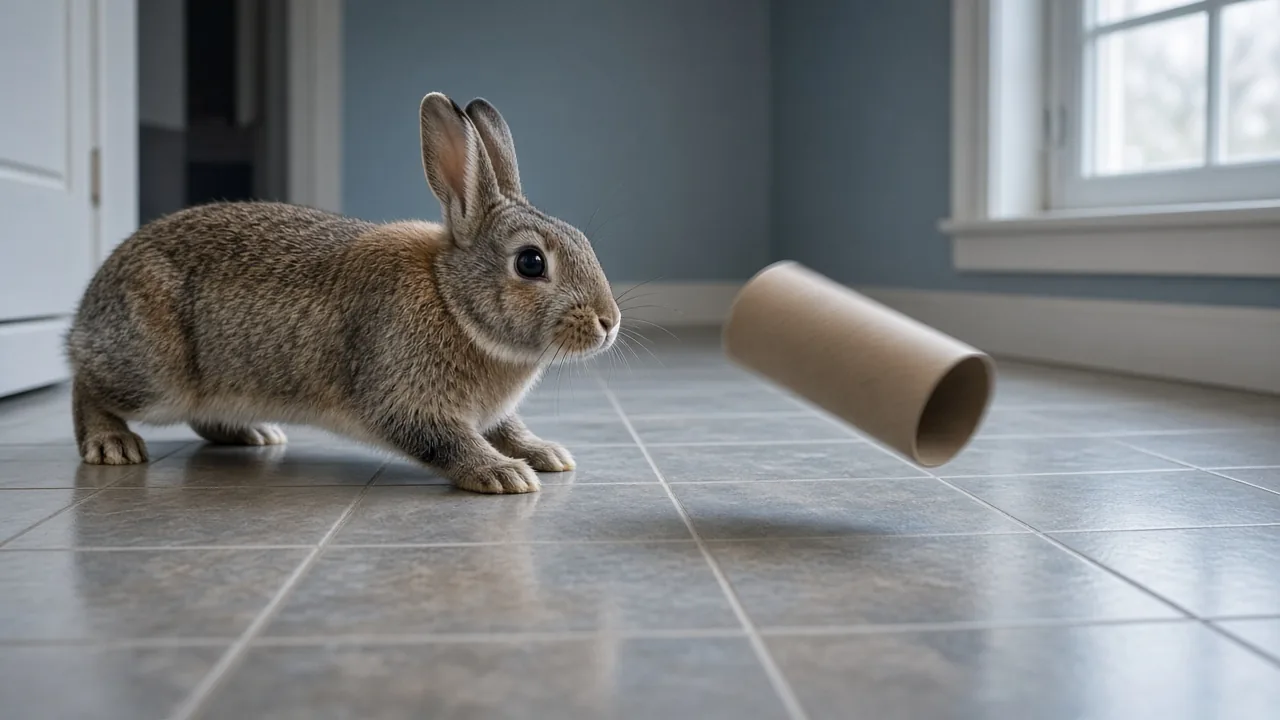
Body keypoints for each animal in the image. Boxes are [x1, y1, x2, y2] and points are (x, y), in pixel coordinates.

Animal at [64, 91, 621, 494]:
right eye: (531, 262)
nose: (608, 322)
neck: (451, 299)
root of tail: (87, 308)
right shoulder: (404, 396)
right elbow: (446, 440)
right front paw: (504, 475)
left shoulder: (488, 412)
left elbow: (509, 429)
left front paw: (547, 454)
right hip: (155, 376)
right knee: (87, 383)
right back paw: (112, 444)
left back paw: (254, 434)